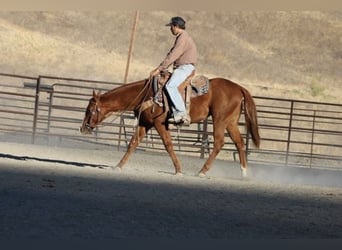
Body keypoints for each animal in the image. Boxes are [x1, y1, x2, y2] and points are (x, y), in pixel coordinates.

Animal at [80, 78, 260, 178]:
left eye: (89, 110)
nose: (83, 128)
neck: (146, 94)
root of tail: (239, 88)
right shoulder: (145, 123)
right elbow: (133, 144)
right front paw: (118, 166)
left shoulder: (160, 124)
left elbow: (168, 145)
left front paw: (178, 170)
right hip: (230, 122)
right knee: (239, 143)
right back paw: (244, 172)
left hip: (220, 120)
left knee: (219, 143)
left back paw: (202, 171)